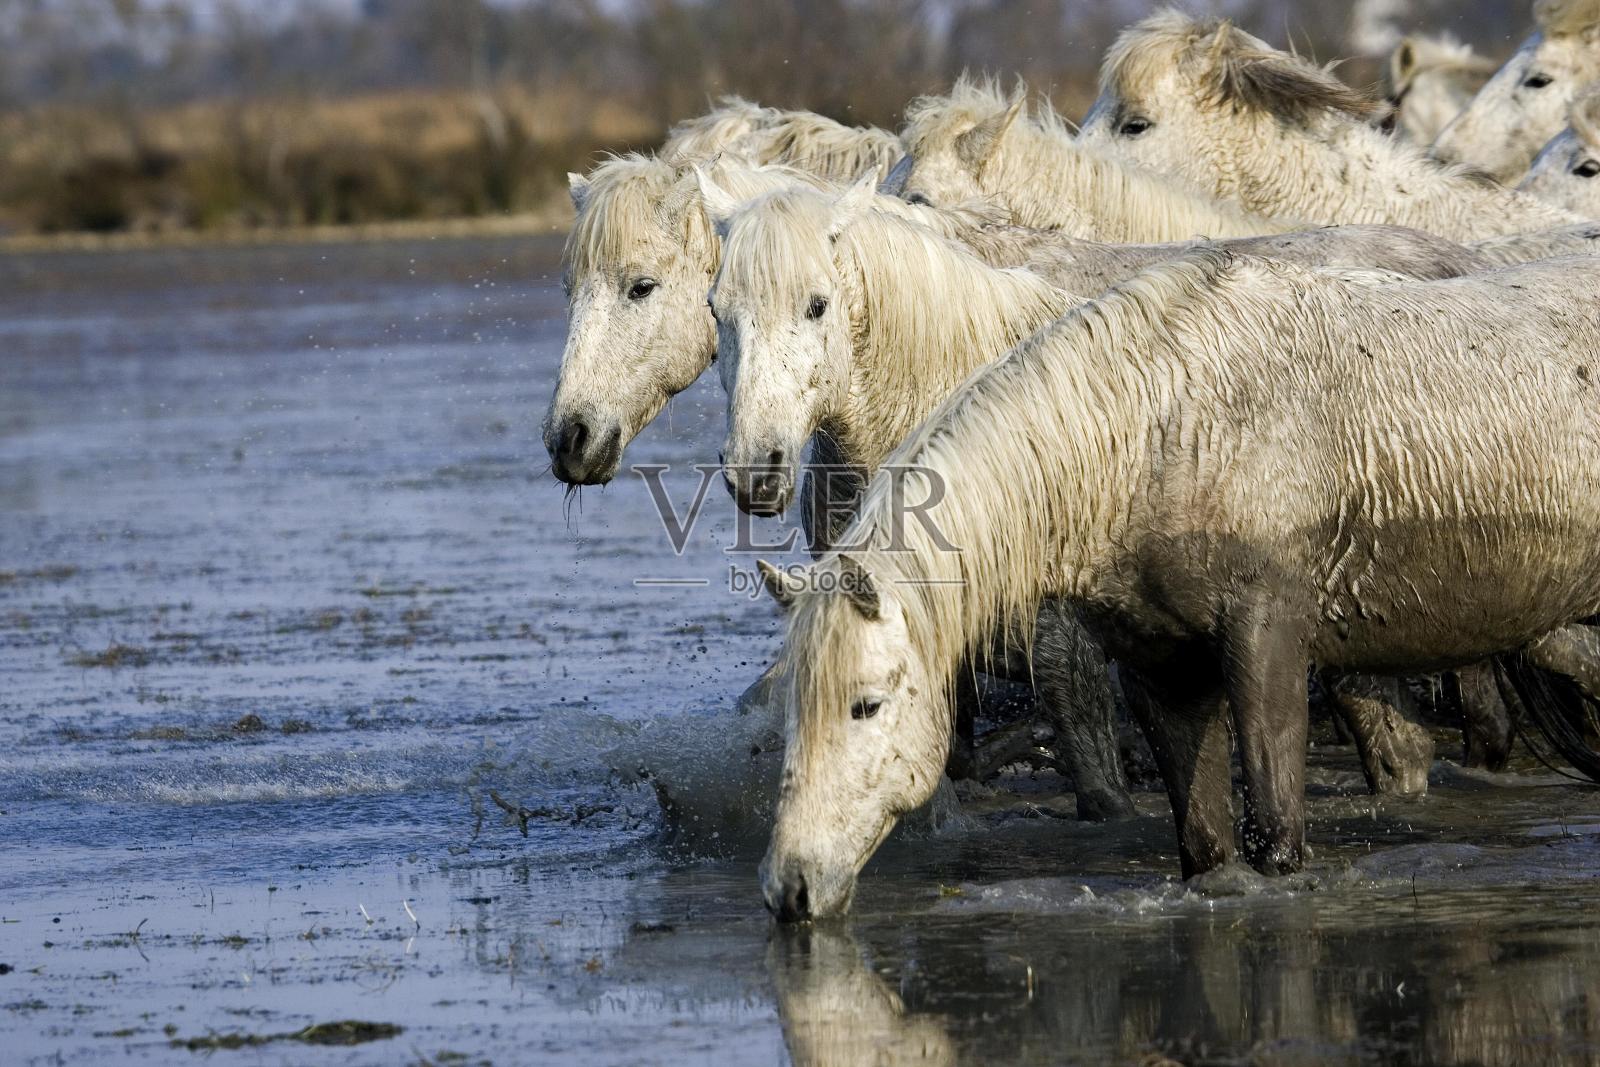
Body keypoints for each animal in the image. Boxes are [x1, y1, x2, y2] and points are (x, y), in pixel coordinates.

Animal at [755, 250, 1600, 920]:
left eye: (866, 704)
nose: (790, 886)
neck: (1159, 426)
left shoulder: (1267, 642)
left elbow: (1275, 836)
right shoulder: (1163, 670)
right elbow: (1206, 849)